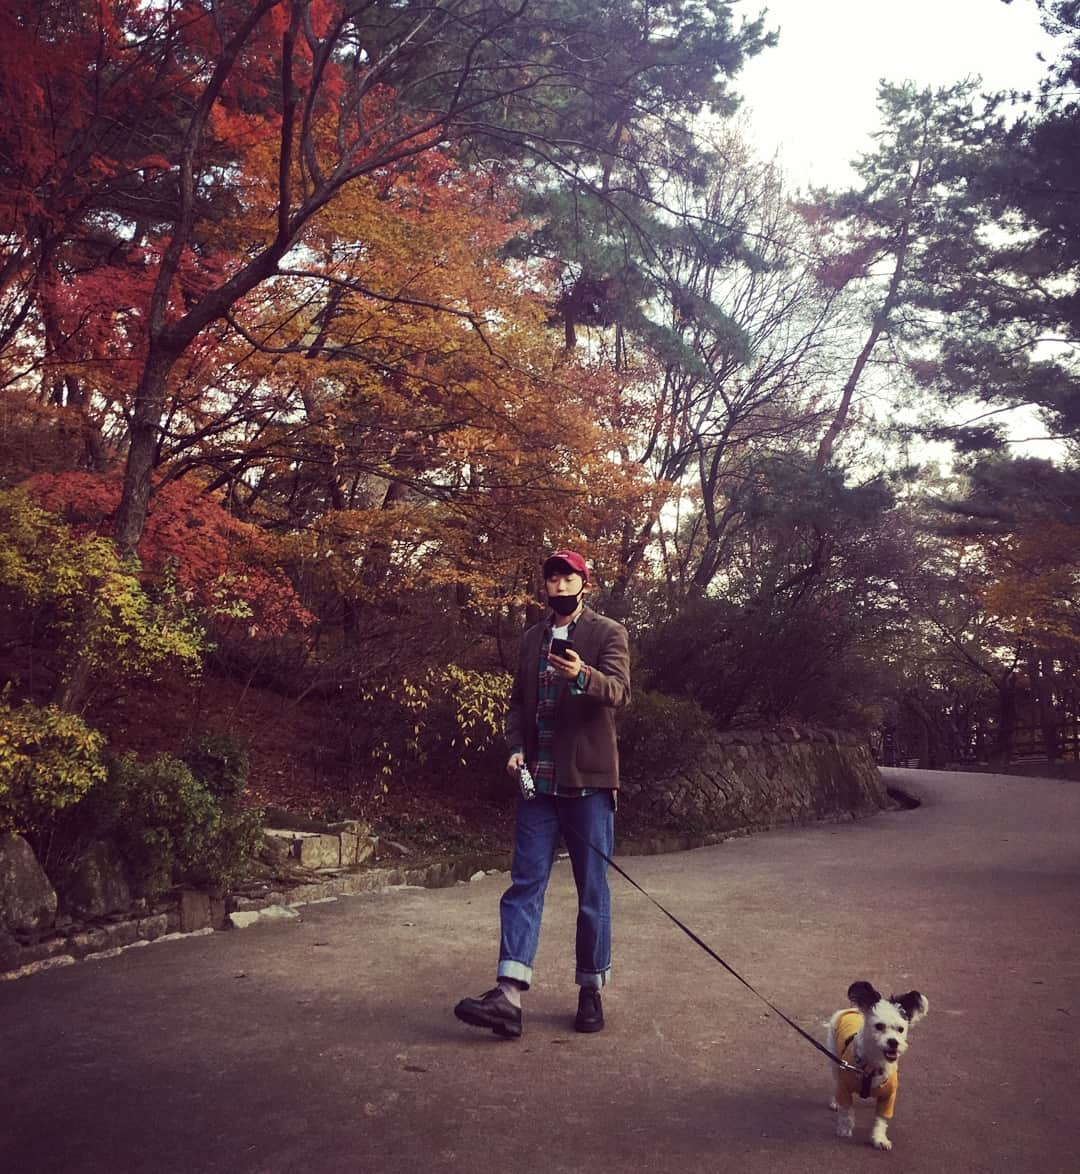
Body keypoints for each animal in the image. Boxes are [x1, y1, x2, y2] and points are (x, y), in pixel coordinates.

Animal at [826, 976, 929, 1150]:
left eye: (901, 1029)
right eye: (879, 1026)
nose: (893, 1042)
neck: (872, 1066)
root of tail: (853, 1010)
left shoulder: (888, 1097)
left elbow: (881, 1119)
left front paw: (879, 1138)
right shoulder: (845, 1087)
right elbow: (846, 1111)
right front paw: (845, 1129)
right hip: (835, 1060)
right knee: (836, 1080)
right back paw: (835, 1101)